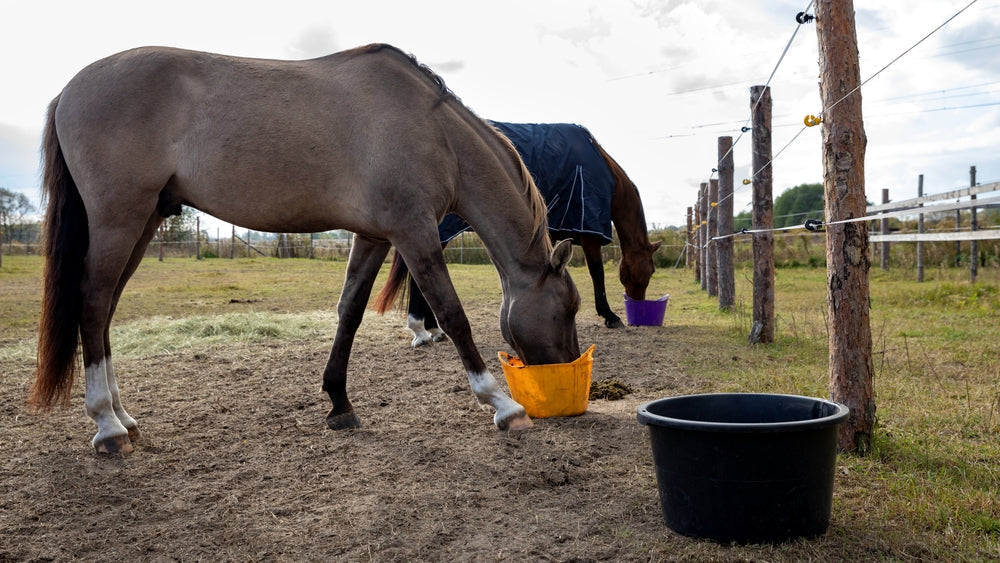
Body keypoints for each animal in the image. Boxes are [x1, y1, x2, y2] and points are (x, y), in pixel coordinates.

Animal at [29, 44, 582, 454]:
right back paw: (107, 426)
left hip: (142, 223)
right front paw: (503, 405)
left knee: (103, 313)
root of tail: (69, 90)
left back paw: (124, 417)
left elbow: (349, 312)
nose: (565, 371)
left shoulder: (374, 236)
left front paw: (339, 402)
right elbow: (452, 313)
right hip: (118, 220)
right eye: (567, 310)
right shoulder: (414, 232)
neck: (434, 131)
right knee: (93, 305)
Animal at [375, 122, 660, 347]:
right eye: (648, 272)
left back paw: (432, 330)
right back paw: (422, 330)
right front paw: (611, 316)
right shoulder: (588, 230)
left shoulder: (550, 234)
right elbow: (597, 273)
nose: (638, 305)